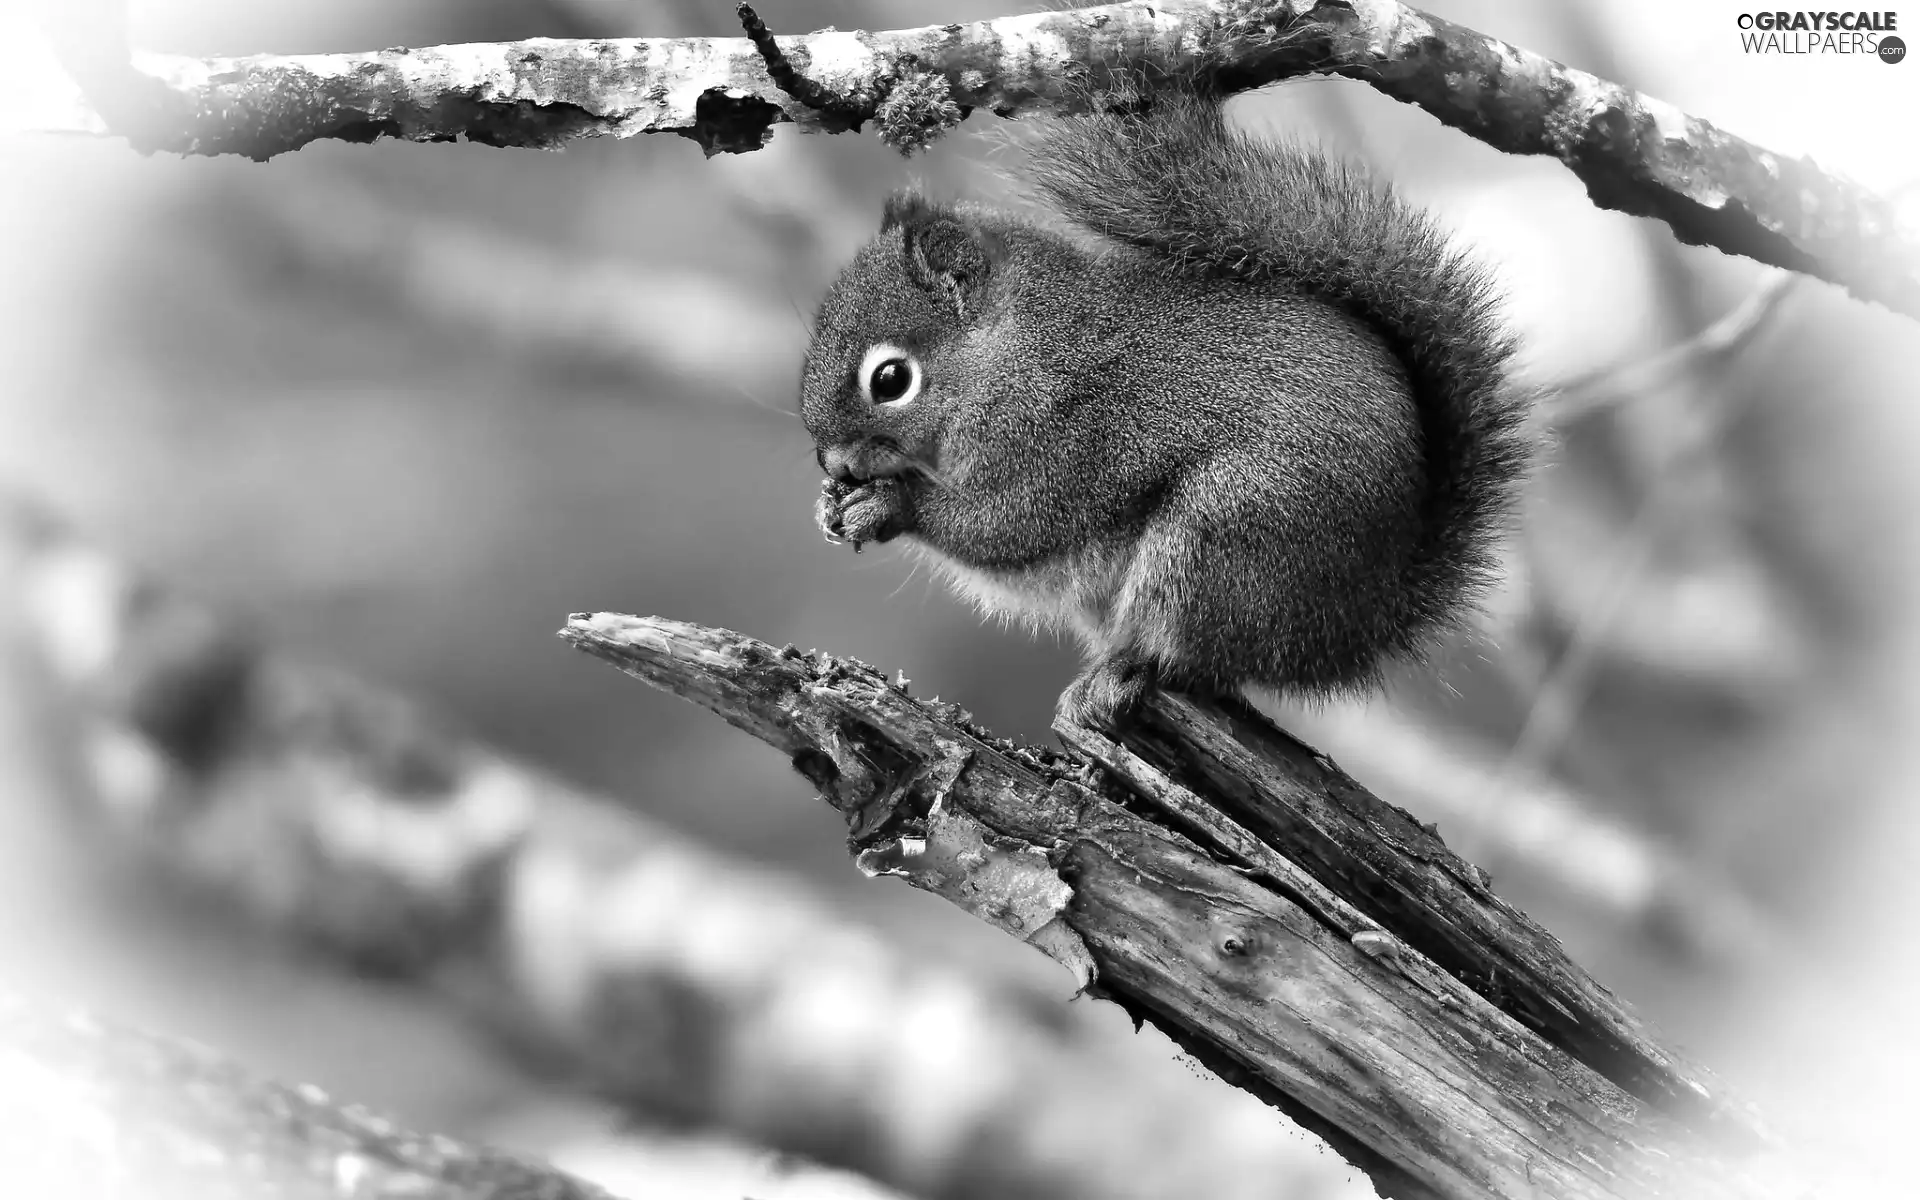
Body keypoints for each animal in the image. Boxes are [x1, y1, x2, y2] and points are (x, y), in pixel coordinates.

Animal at [794, 88, 1528, 725]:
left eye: (891, 379)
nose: (833, 462)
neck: (1014, 350)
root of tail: (1366, 619)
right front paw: (830, 506)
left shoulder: (1064, 432)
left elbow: (1006, 526)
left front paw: (888, 505)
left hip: (1225, 537)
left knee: (1197, 659)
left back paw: (1120, 677)